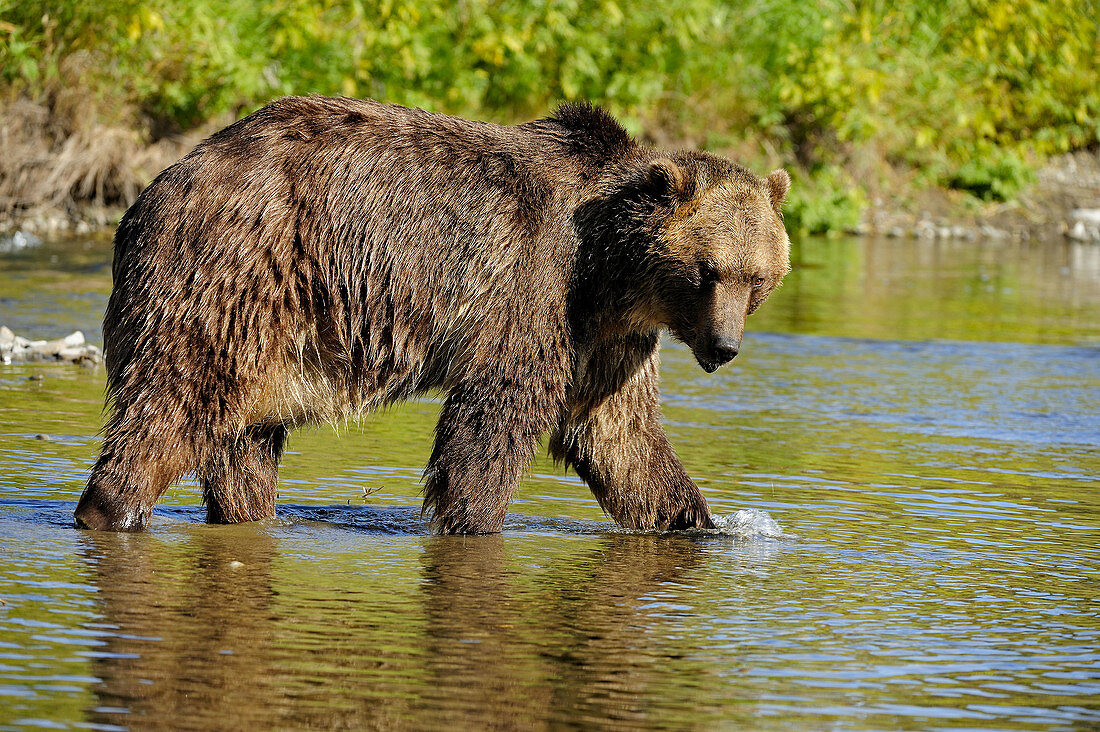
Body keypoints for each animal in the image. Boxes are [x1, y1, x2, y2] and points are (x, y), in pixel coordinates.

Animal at [73, 95, 792, 530]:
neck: (612, 271)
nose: (723, 347)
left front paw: (704, 521)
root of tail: (152, 191)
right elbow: (495, 418)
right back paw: (108, 508)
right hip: (232, 274)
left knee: (240, 446)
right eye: (708, 272)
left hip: (265, 334)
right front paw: (472, 517)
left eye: (758, 277)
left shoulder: (610, 338)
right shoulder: (535, 288)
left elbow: (621, 439)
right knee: (171, 405)